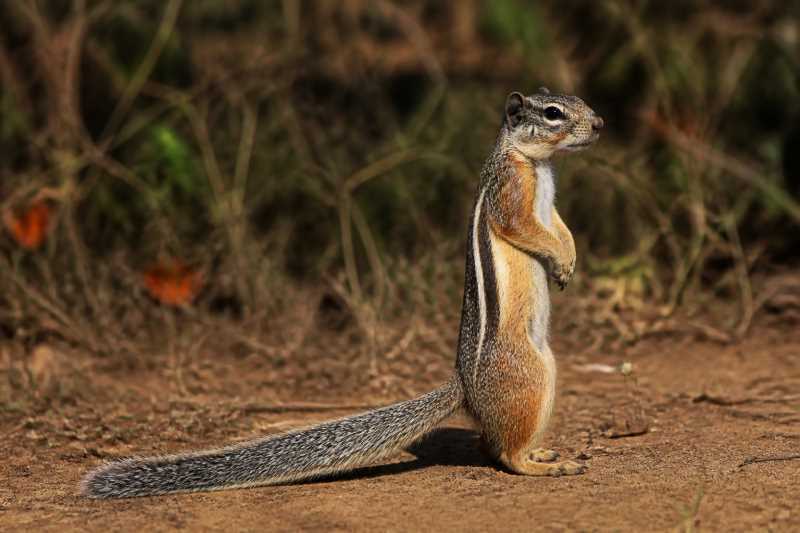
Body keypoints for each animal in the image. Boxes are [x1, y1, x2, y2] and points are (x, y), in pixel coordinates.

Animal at [81, 88, 603, 498]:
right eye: (553, 112)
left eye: (578, 102)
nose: (599, 124)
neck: (535, 162)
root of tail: (467, 389)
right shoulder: (511, 192)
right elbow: (525, 228)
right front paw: (560, 262)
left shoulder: (550, 206)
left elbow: (560, 228)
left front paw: (570, 261)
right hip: (531, 373)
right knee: (502, 454)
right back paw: (542, 464)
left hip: (546, 368)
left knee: (492, 444)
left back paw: (542, 451)